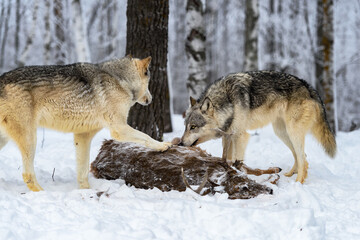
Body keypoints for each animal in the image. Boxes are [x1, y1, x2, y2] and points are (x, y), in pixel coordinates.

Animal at [0, 54, 172, 191]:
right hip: (31, 139)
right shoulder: (119, 128)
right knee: (27, 174)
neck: (120, 81)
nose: (151, 100)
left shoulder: (83, 136)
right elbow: (146, 137)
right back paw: (43, 193)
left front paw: (86, 191)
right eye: (149, 82)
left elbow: (82, 171)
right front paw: (164, 145)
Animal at [183, 70, 338, 183]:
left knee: (302, 159)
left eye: (193, 127)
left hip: (292, 133)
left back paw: (298, 183)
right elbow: (227, 158)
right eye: (186, 126)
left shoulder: (240, 136)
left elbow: (237, 160)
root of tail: (309, 87)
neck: (228, 100)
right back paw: (289, 174)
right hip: (282, 132)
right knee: (302, 157)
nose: (181, 143)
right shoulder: (229, 137)